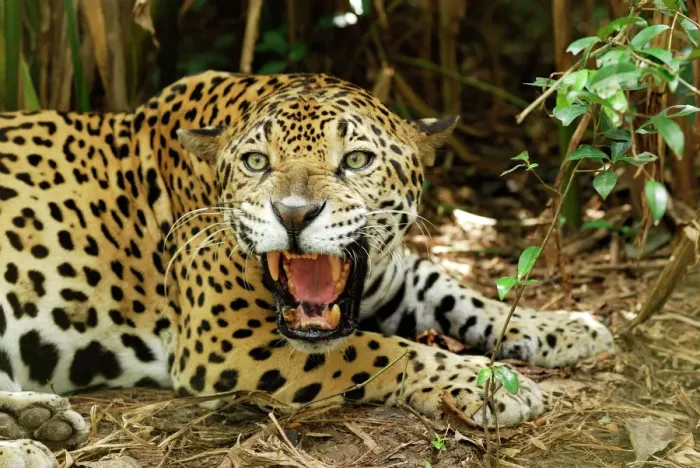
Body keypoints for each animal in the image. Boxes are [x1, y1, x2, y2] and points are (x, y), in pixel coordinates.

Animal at [0, 70, 614, 466]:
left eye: (357, 160)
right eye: (256, 162)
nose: (294, 213)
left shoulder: (391, 276)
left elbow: (462, 292)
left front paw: (566, 326)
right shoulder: (228, 340)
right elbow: (380, 349)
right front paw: (485, 385)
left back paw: (39, 422)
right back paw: (29, 448)